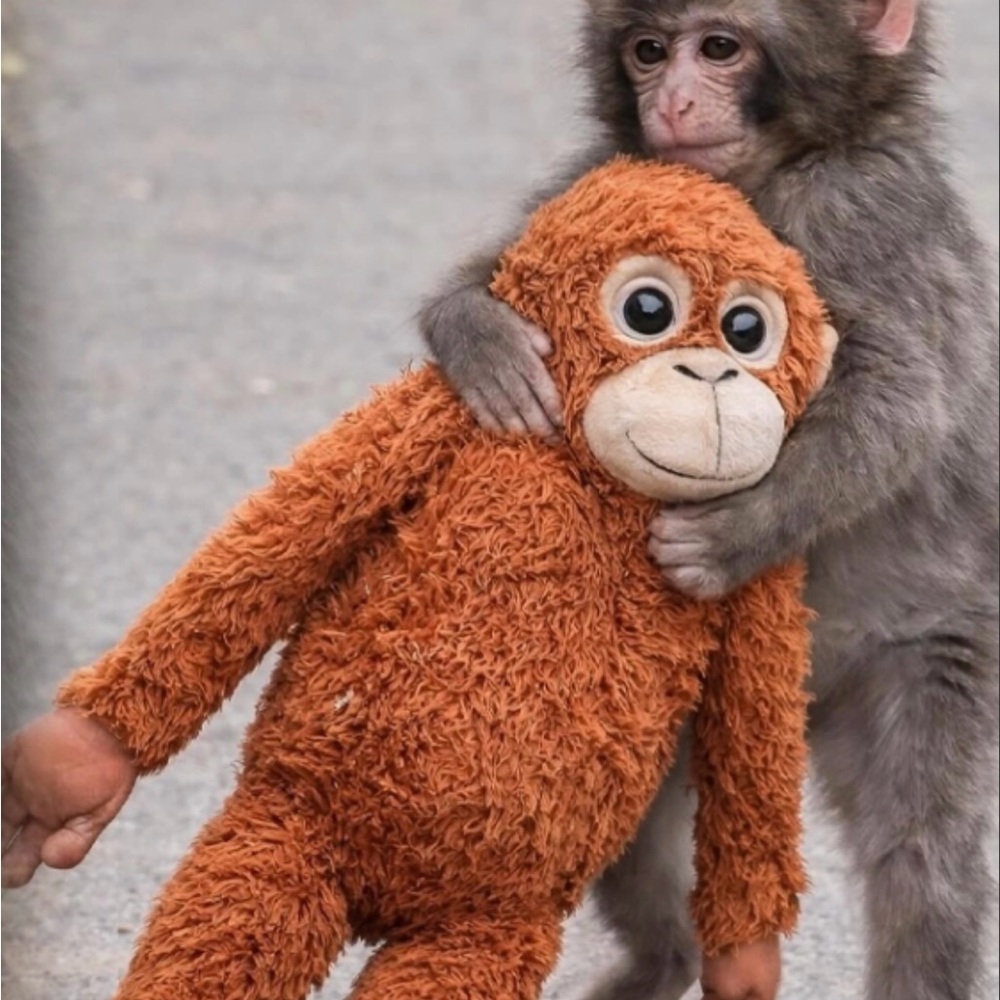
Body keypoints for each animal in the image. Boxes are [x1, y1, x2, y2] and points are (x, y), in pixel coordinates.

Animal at [418, 2, 1000, 999]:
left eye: (719, 47)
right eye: (648, 52)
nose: (673, 101)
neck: (775, 171)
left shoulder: (863, 210)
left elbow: (900, 400)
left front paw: (732, 538)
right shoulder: (614, 179)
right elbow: (501, 270)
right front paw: (479, 337)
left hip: (911, 653)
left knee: (922, 857)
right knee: (617, 810)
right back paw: (663, 962)